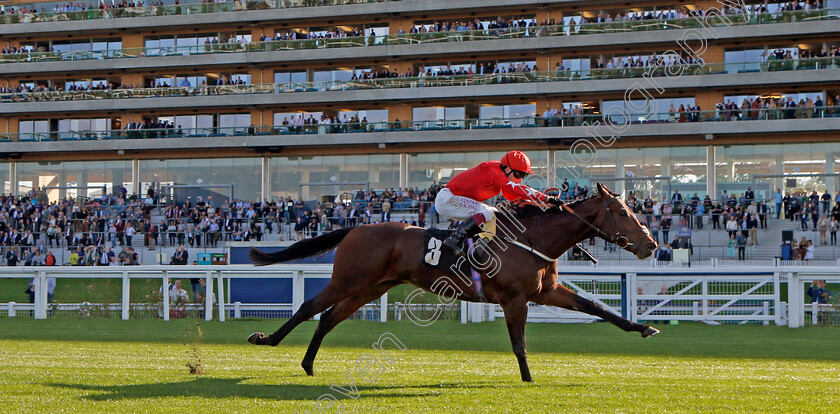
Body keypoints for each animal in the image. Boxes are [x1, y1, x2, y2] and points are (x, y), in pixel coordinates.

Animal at [246, 183, 660, 384]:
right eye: (623, 212)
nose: (651, 244)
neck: (532, 238)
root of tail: (357, 227)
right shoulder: (515, 299)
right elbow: (519, 344)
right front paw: (528, 380)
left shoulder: (547, 292)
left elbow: (597, 308)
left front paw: (643, 327)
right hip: (350, 279)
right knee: (308, 307)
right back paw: (266, 339)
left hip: (370, 288)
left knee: (329, 318)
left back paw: (308, 365)